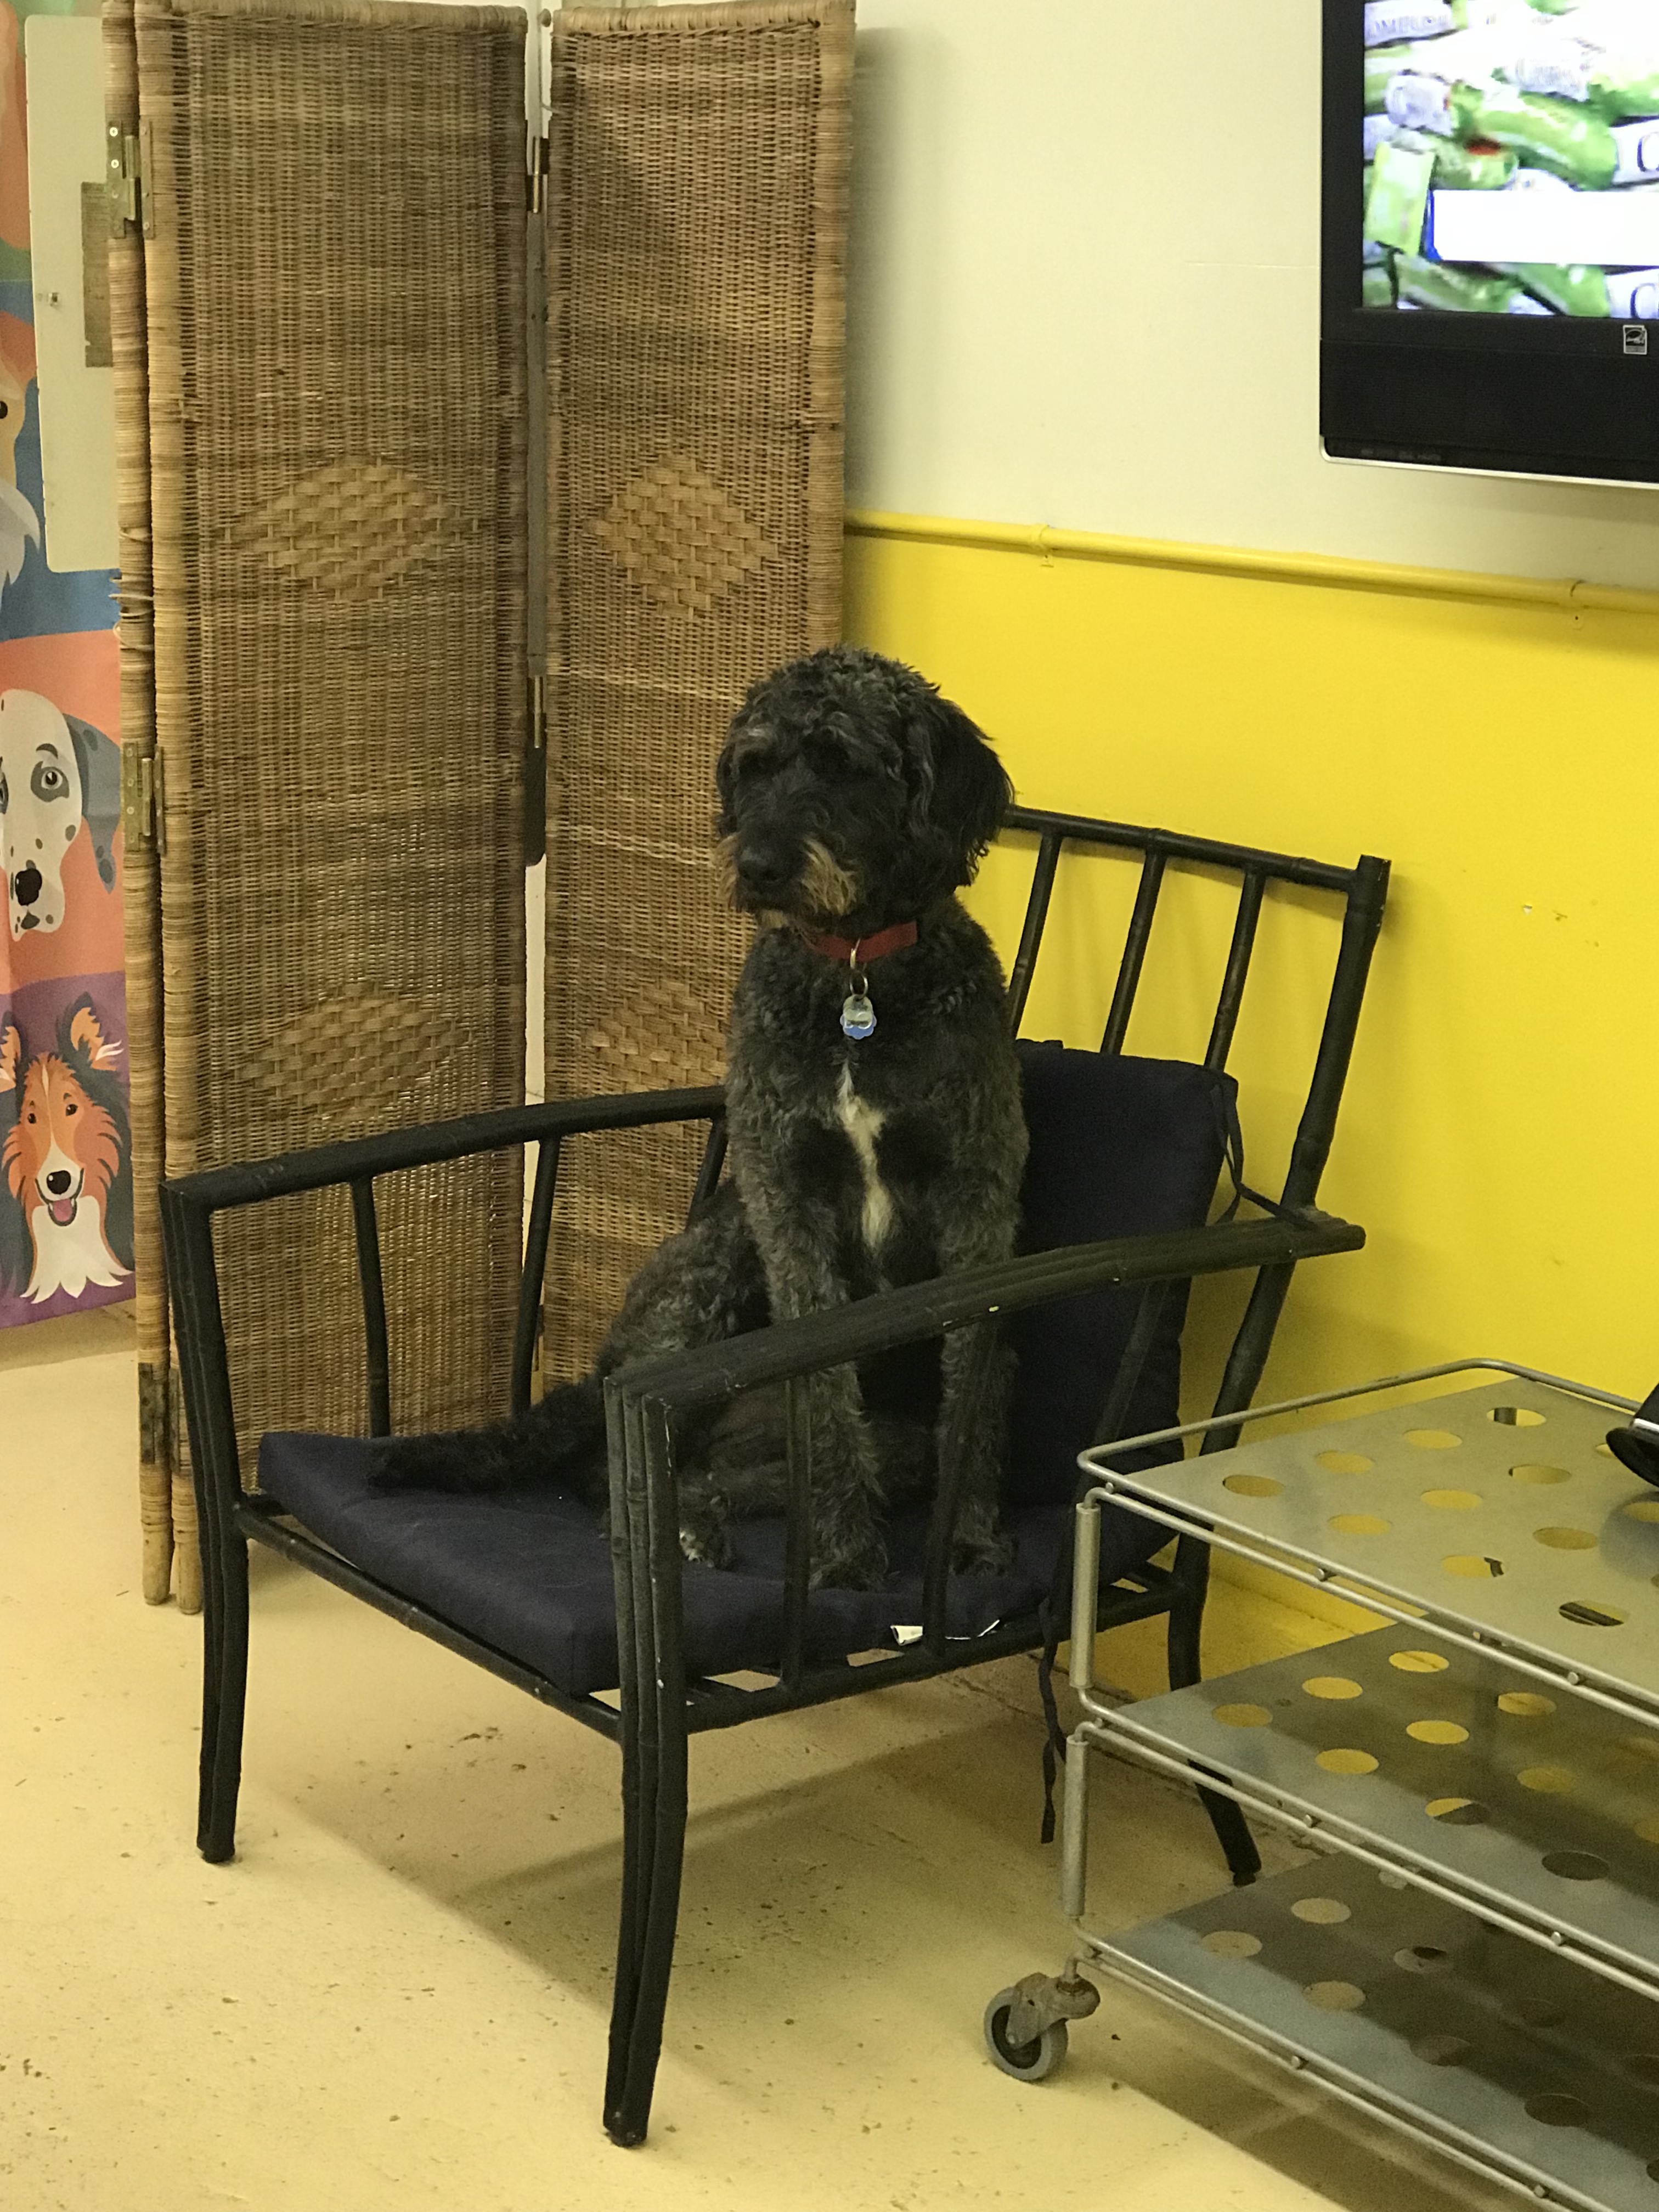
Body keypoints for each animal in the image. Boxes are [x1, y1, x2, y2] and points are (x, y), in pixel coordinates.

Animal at [373, 646, 1028, 1591]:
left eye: (843, 763)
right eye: (755, 767)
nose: (757, 864)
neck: (854, 979)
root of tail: (600, 1371)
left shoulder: (975, 1192)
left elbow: (974, 1376)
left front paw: (969, 1540)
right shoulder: (786, 1202)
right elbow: (824, 1389)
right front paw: (845, 1554)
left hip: (869, 1434)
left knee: (705, 1470)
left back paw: (697, 1520)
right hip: (712, 1270)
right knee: (612, 1465)